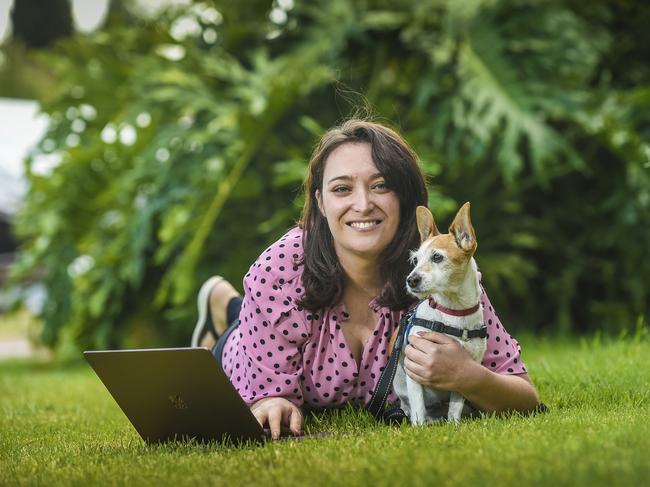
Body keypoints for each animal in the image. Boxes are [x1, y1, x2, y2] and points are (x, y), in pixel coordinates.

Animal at [390, 204, 486, 426]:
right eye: (416, 260)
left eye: (437, 257)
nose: (410, 280)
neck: (454, 311)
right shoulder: (414, 367)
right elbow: (418, 407)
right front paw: (418, 428)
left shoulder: (465, 372)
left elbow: (456, 406)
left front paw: (454, 425)